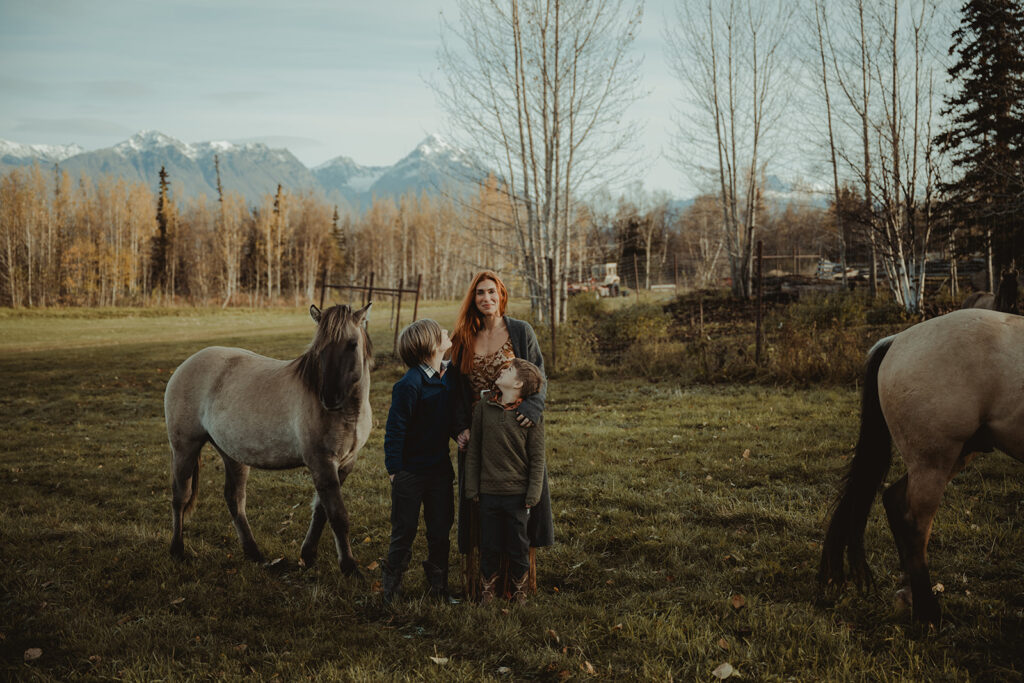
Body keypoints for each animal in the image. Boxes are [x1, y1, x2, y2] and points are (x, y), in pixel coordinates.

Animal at [815, 309, 1024, 626]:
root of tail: (897, 340)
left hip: (952, 456)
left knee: (894, 499)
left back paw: (910, 593)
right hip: (933, 462)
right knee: (915, 525)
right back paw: (927, 612)